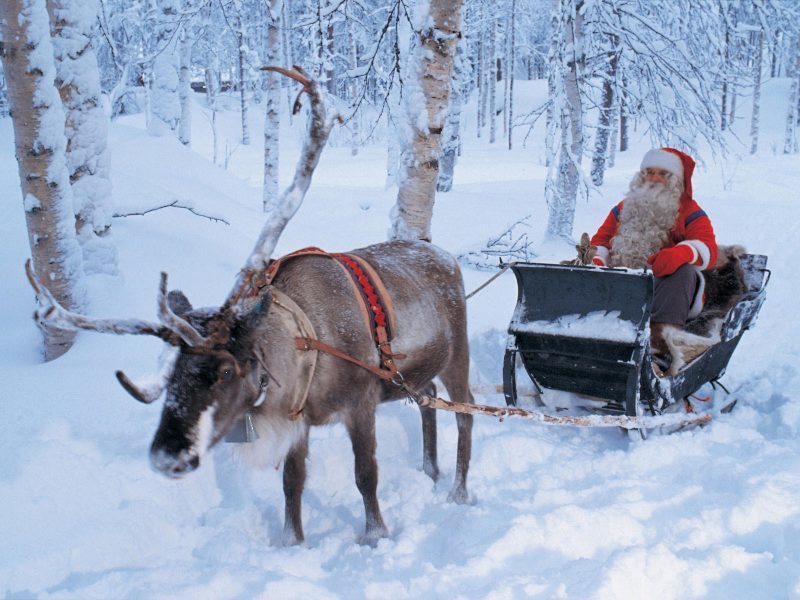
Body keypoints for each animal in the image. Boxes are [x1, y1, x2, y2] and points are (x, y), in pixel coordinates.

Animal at [25, 66, 474, 546]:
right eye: (168, 374)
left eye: (225, 371)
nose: (168, 458)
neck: (306, 344)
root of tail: (446, 256)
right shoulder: (300, 420)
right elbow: (292, 483)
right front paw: (291, 540)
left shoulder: (360, 404)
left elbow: (365, 475)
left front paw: (374, 535)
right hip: (416, 374)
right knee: (427, 399)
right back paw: (430, 471)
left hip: (457, 355)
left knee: (465, 413)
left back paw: (459, 490)